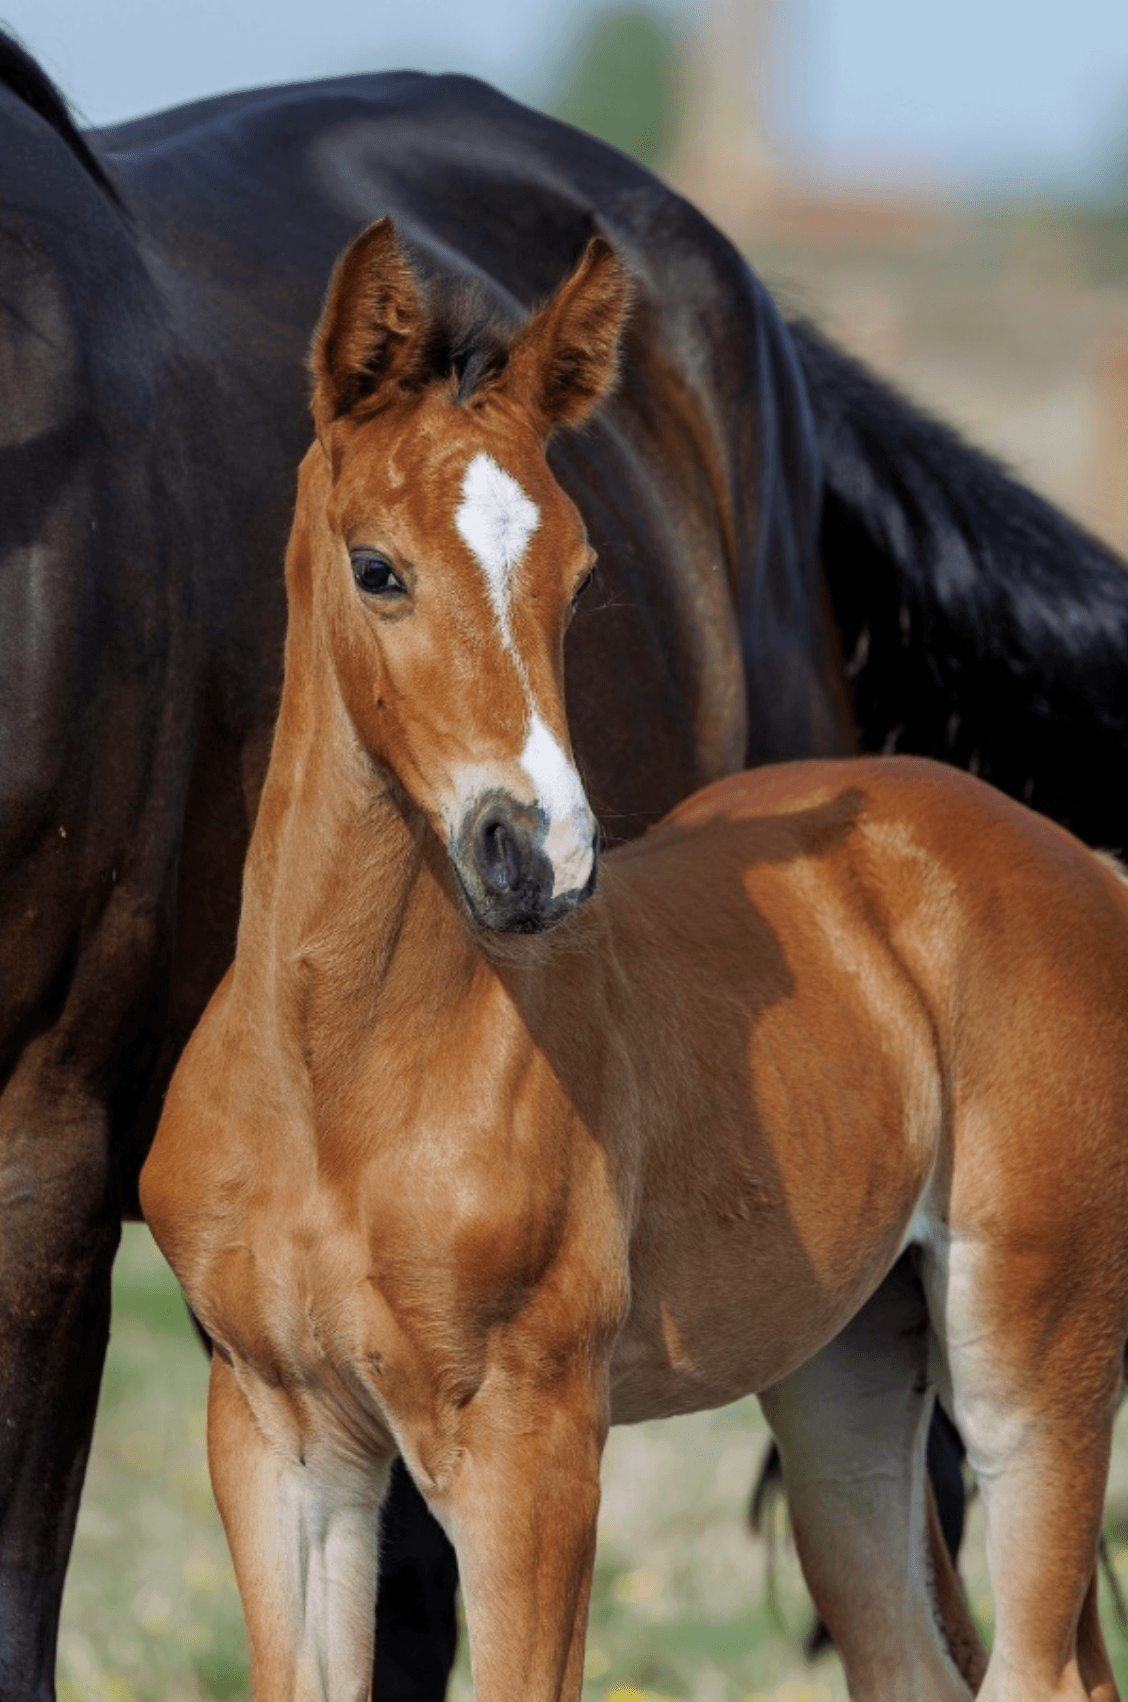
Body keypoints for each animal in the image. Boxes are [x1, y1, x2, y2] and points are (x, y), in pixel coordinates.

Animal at [6, 27, 1128, 1697]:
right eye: (377, 567)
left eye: (582, 573)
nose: (535, 852)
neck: (337, 1067)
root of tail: (1055, 857)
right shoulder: (281, 1434)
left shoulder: (530, 1436)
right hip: (846, 1364)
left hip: (1028, 1341)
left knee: (1039, 1658)